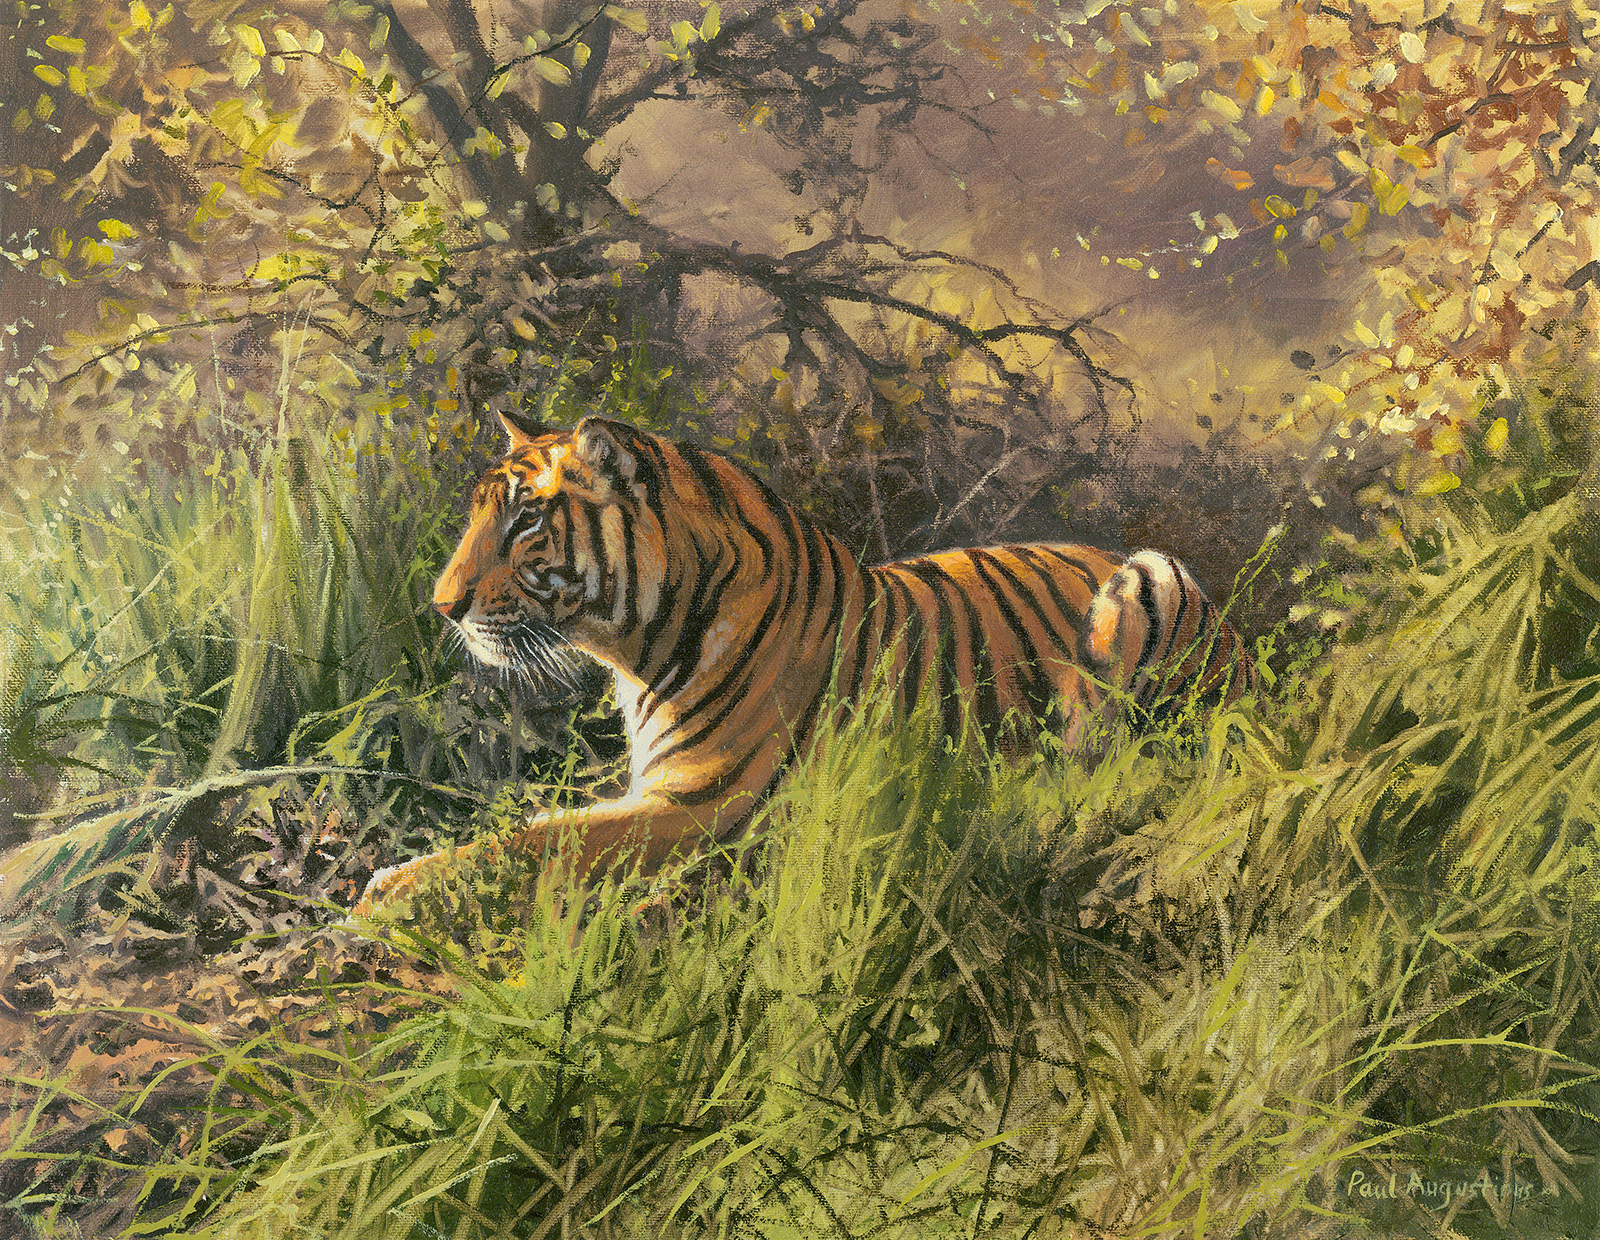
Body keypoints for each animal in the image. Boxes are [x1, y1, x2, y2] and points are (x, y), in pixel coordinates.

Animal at [353, 414, 1257, 915]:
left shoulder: (697, 806)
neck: (639, 644)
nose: (441, 604)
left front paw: (388, 891)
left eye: (527, 522)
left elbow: (532, 841)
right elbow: (530, 826)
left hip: (1152, 585)